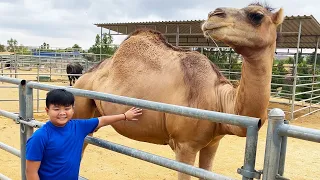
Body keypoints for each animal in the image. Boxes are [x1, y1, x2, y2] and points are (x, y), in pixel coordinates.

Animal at [74, 3, 284, 180]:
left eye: (256, 15)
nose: (214, 14)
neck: (219, 99)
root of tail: (83, 77)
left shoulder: (213, 144)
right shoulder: (185, 145)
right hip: (80, 101)